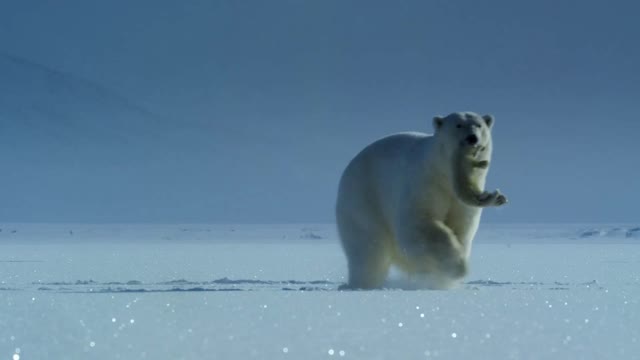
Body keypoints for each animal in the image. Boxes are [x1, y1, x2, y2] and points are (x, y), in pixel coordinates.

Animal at [338, 112, 508, 290]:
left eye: (479, 125)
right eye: (458, 125)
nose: (472, 138)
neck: (444, 174)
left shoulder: (461, 202)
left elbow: (462, 228)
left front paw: (444, 276)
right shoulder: (424, 182)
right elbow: (418, 224)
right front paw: (458, 267)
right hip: (363, 197)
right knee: (368, 249)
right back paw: (362, 284)